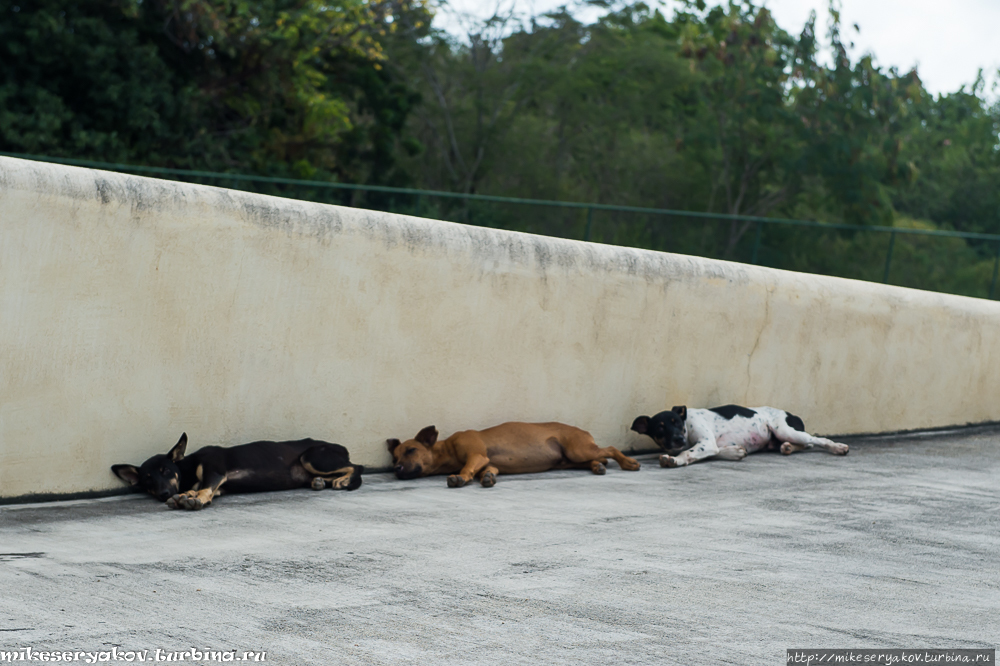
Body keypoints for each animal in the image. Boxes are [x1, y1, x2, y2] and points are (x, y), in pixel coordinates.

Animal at [113, 430, 364, 508]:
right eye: (147, 479)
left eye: (165, 471)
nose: (165, 494)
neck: (188, 467)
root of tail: (340, 447)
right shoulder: (218, 486)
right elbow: (200, 489)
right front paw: (185, 496)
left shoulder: (215, 472)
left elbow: (204, 489)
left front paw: (195, 499)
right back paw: (319, 482)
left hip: (312, 456)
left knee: (356, 466)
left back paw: (342, 480)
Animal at [628, 402, 848, 464]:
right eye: (660, 428)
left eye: (677, 423)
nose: (679, 438)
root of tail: (791, 414)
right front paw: (734, 452)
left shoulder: (707, 443)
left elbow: (688, 452)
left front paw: (675, 460)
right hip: (780, 437)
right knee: (803, 444)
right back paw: (786, 448)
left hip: (785, 430)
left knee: (817, 440)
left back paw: (838, 447)